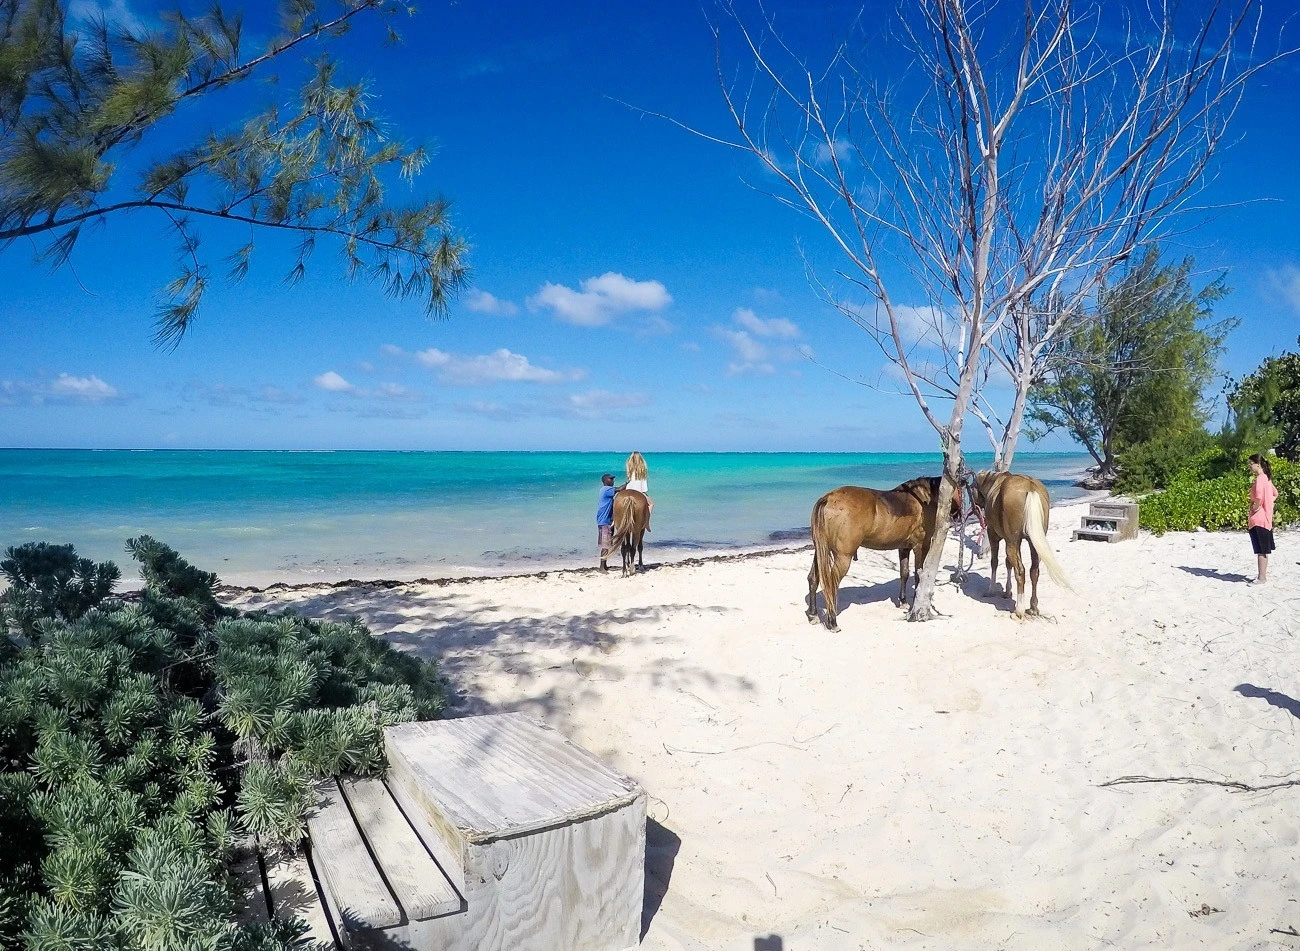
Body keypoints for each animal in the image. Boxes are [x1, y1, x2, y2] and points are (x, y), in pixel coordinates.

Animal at [806, 477, 960, 631]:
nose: (957, 514)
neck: (923, 500)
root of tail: (828, 498)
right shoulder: (921, 546)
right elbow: (918, 575)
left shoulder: (904, 548)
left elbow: (904, 573)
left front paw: (903, 601)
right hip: (843, 556)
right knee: (832, 584)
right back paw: (832, 621)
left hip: (820, 551)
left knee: (813, 578)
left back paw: (813, 615)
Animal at [971, 470, 1073, 617]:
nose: (976, 506)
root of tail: (1030, 488)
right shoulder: (1008, 540)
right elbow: (1008, 563)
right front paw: (1007, 591)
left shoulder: (994, 535)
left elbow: (995, 562)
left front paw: (992, 590)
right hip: (1033, 543)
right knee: (1034, 571)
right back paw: (1033, 607)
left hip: (1013, 543)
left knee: (1020, 571)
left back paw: (1019, 609)